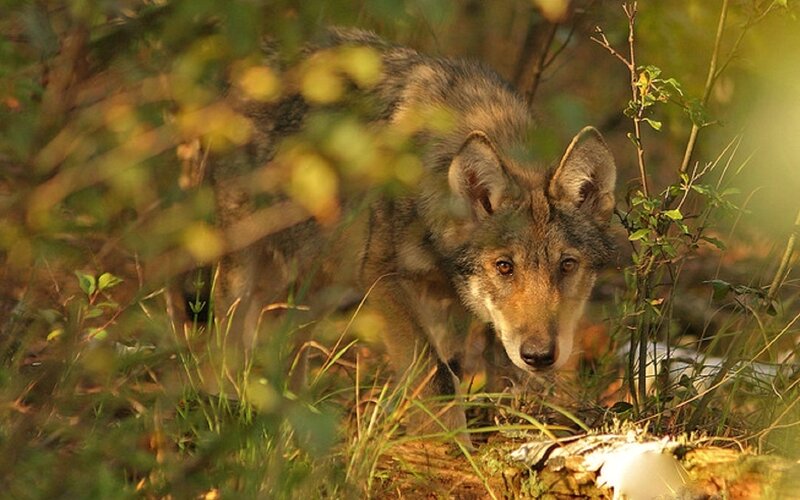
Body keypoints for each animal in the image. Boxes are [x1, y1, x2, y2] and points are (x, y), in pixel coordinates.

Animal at [210, 28, 616, 438]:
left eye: (567, 265)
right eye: (504, 266)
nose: (538, 356)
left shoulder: (447, 303)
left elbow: (451, 372)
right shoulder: (383, 280)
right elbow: (435, 375)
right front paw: (450, 447)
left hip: (318, 284)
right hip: (248, 271)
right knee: (229, 335)